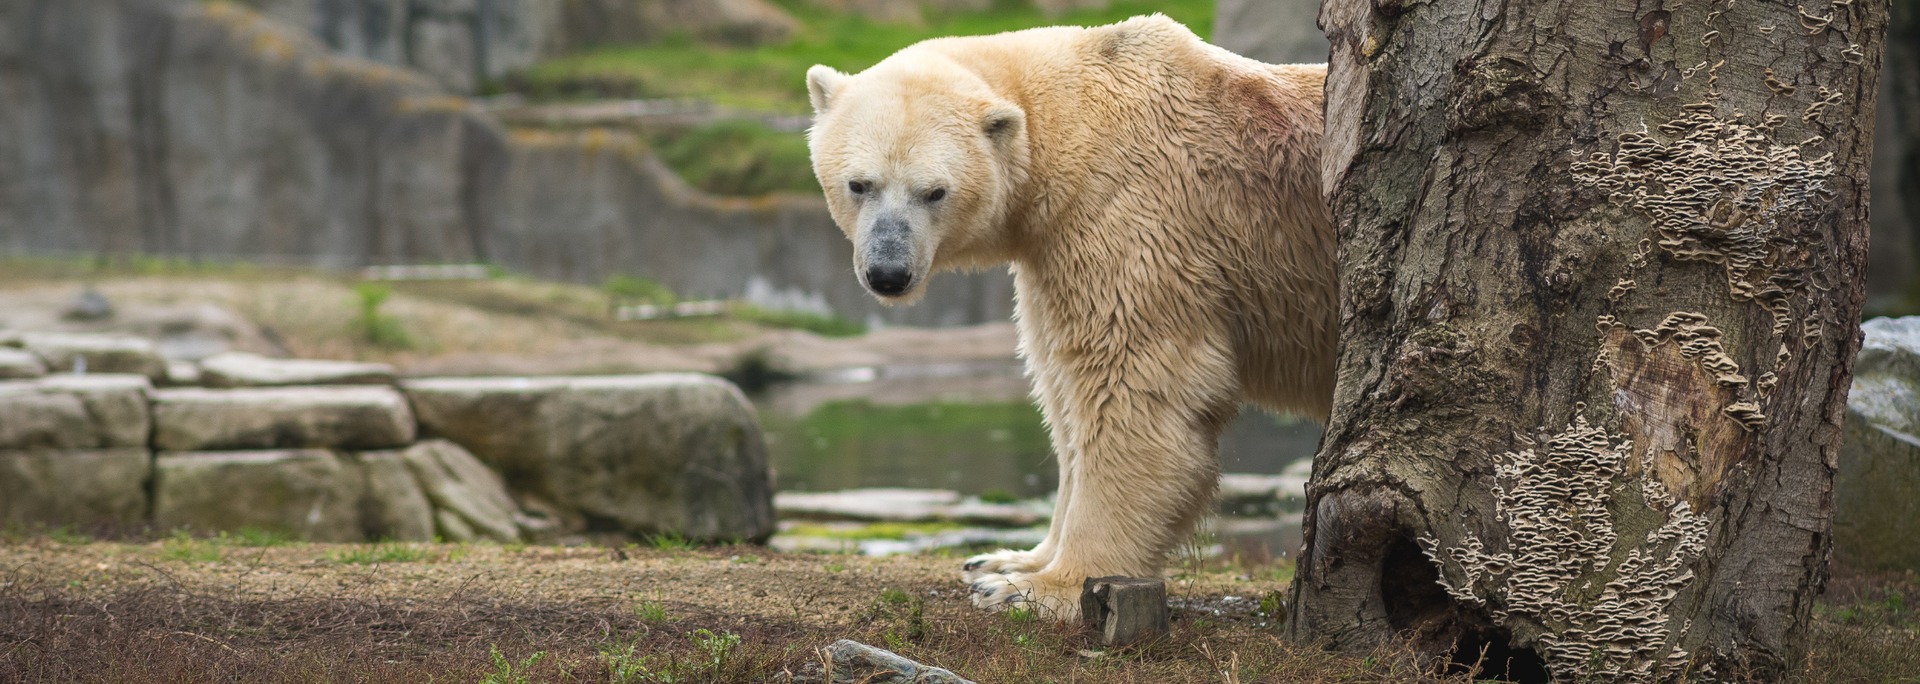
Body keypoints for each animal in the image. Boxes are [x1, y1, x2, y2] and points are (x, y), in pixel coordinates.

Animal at [805, 14, 1335, 621]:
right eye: (859, 183)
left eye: (935, 192)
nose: (888, 272)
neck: (1074, 116)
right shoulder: (1050, 252)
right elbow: (1062, 394)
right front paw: (1004, 560)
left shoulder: (1130, 216)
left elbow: (1132, 387)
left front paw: (1037, 589)